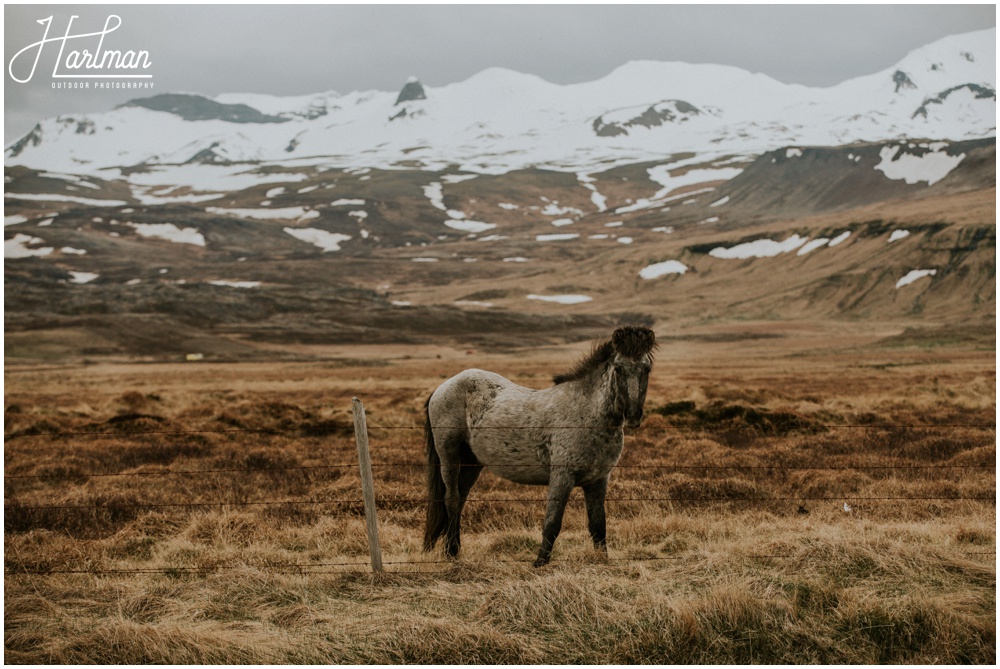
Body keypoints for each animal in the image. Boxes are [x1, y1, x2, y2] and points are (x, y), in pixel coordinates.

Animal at [422, 326, 656, 568]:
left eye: (647, 368)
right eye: (618, 368)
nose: (633, 416)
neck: (586, 413)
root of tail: (443, 387)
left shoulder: (598, 481)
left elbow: (598, 525)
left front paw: (602, 560)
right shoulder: (562, 477)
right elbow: (552, 523)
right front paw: (540, 563)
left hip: (472, 463)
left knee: (461, 498)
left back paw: (454, 550)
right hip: (449, 456)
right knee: (451, 499)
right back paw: (451, 552)